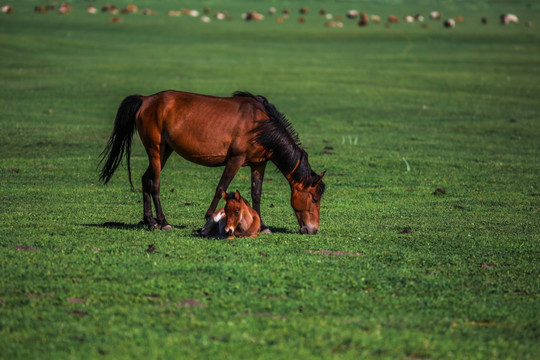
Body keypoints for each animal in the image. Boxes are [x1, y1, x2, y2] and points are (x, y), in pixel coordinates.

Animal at [98, 90, 324, 233]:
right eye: (314, 198)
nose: (312, 230)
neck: (261, 125)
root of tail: (146, 100)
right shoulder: (235, 160)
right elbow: (221, 188)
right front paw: (208, 217)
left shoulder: (259, 164)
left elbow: (256, 194)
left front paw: (263, 226)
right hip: (156, 149)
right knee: (154, 183)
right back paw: (162, 222)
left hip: (164, 151)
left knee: (146, 179)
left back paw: (150, 221)